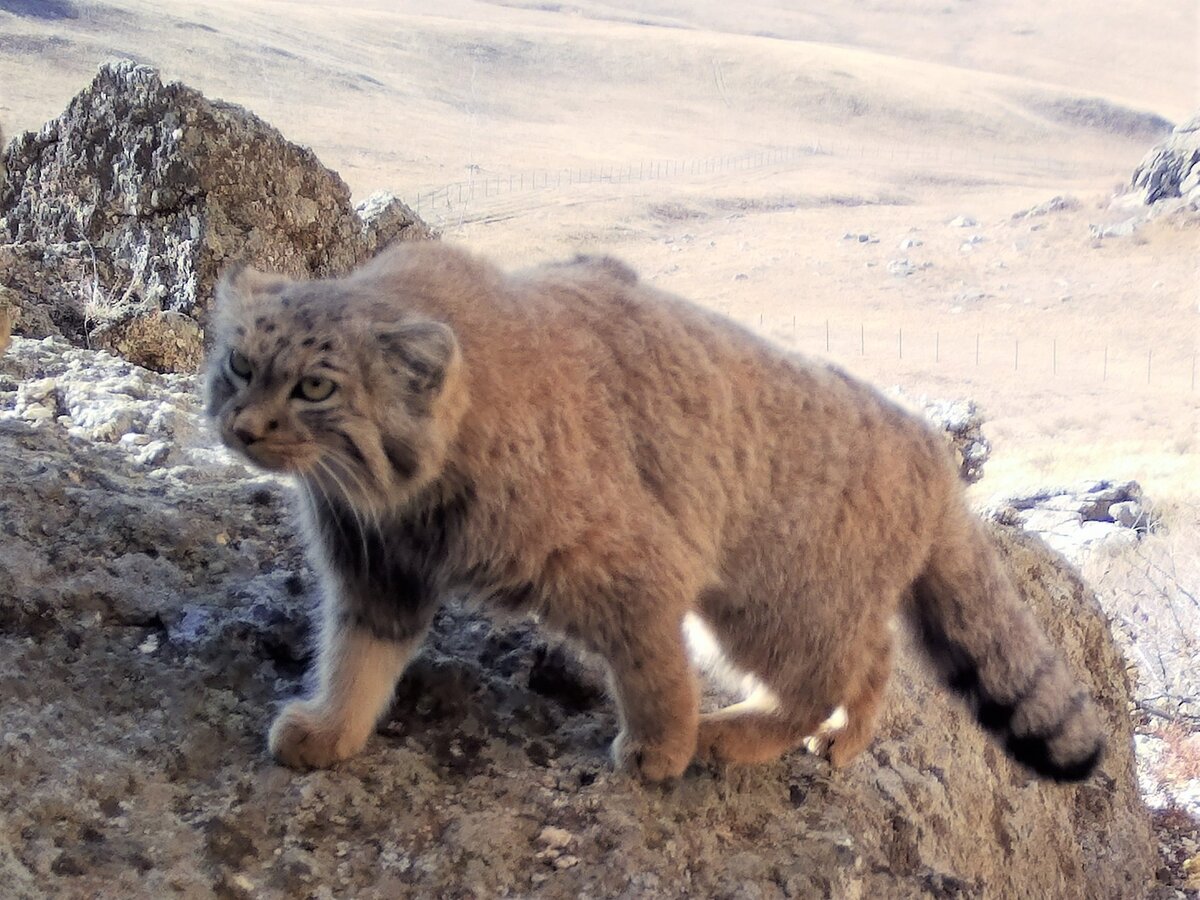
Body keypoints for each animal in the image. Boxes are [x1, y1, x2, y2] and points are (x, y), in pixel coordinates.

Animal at [206, 243, 1104, 787]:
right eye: (238, 366)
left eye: (314, 388)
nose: (241, 427)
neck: (405, 501)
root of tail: (930, 448)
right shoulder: (376, 571)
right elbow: (356, 660)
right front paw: (331, 730)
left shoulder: (626, 566)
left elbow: (652, 667)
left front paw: (660, 747)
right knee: (876, 656)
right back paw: (845, 738)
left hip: (767, 605)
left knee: (828, 673)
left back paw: (735, 734)